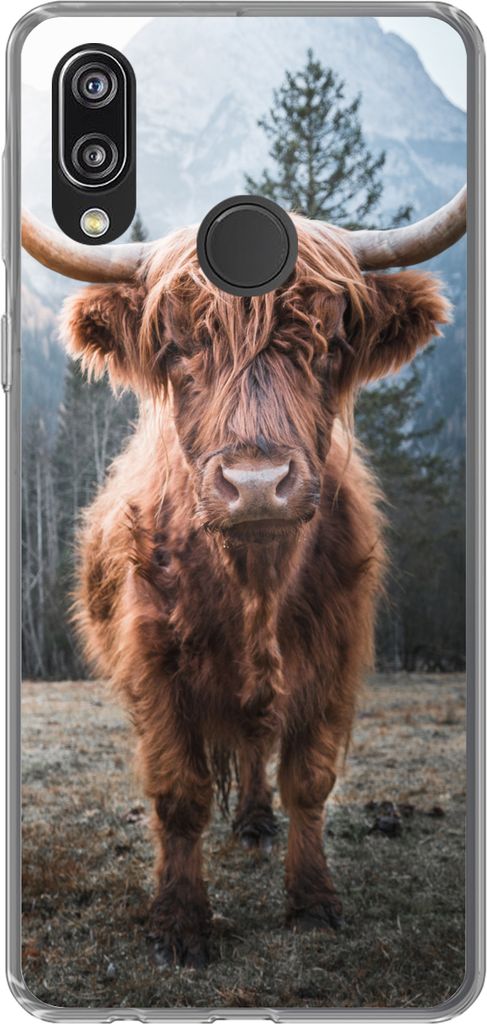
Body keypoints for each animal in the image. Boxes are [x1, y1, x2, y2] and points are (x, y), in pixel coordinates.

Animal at [22, 187, 466, 968]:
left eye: (329, 344)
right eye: (177, 349)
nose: (257, 485)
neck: (255, 583)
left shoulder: (334, 657)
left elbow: (309, 781)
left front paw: (313, 902)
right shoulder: (154, 665)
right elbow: (180, 792)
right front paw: (179, 923)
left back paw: (257, 823)